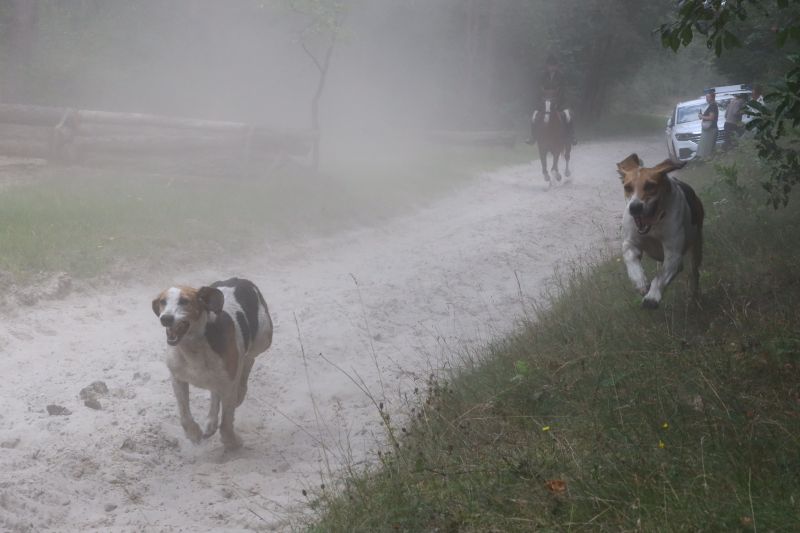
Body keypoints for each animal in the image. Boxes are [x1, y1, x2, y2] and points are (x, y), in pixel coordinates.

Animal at [152, 277, 272, 450]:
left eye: (184, 301)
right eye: (163, 301)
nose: (166, 318)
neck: (193, 347)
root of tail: (240, 279)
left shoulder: (229, 385)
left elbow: (227, 423)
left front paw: (232, 442)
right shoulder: (178, 379)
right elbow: (185, 415)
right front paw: (194, 433)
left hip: (263, 340)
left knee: (249, 361)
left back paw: (241, 390)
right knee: (216, 391)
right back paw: (211, 423)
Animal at [617, 154, 704, 308]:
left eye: (650, 186)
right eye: (628, 187)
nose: (635, 207)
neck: (653, 225)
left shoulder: (674, 255)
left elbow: (661, 277)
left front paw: (652, 297)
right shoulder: (630, 242)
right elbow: (630, 256)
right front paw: (640, 282)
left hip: (697, 244)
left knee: (694, 272)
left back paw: (694, 296)